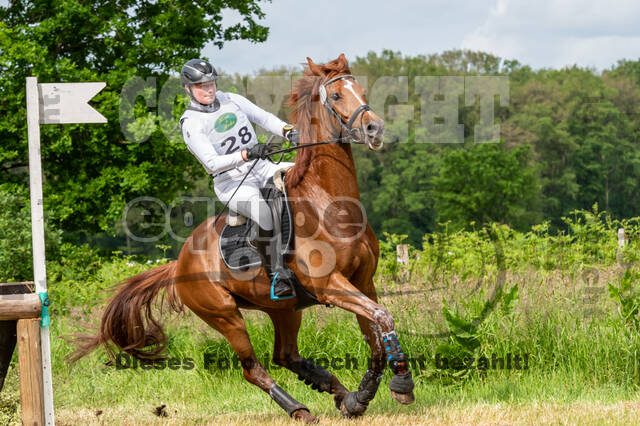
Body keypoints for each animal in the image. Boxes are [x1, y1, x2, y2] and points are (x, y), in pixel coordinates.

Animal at [68, 53, 415, 423]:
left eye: (360, 90)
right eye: (335, 96)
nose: (375, 129)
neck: (327, 204)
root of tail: (178, 262)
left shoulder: (363, 281)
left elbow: (375, 334)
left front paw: (361, 397)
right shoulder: (331, 286)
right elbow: (382, 318)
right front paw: (401, 384)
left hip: (284, 308)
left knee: (286, 355)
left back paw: (337, 391)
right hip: (225, 315)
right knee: (253, 368)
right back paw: (299, 408)